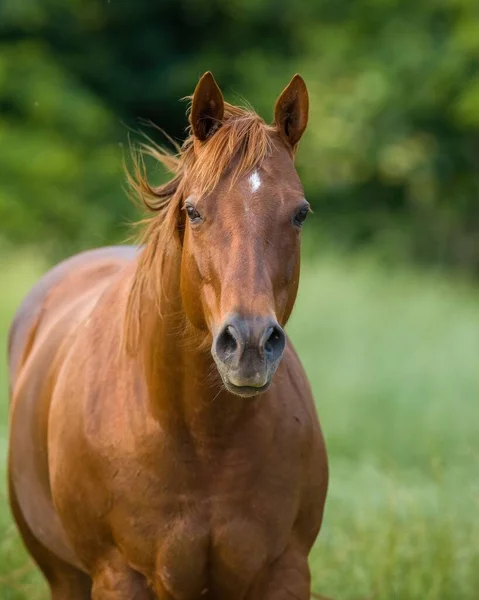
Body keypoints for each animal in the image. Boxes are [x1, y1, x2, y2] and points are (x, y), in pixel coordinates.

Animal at [8, 71, 330, 600]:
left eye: (300, 213)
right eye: (194, 211)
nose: (248, 344)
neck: (203, 441)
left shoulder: (286, 574)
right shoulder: (119, 577)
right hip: (66, 577)